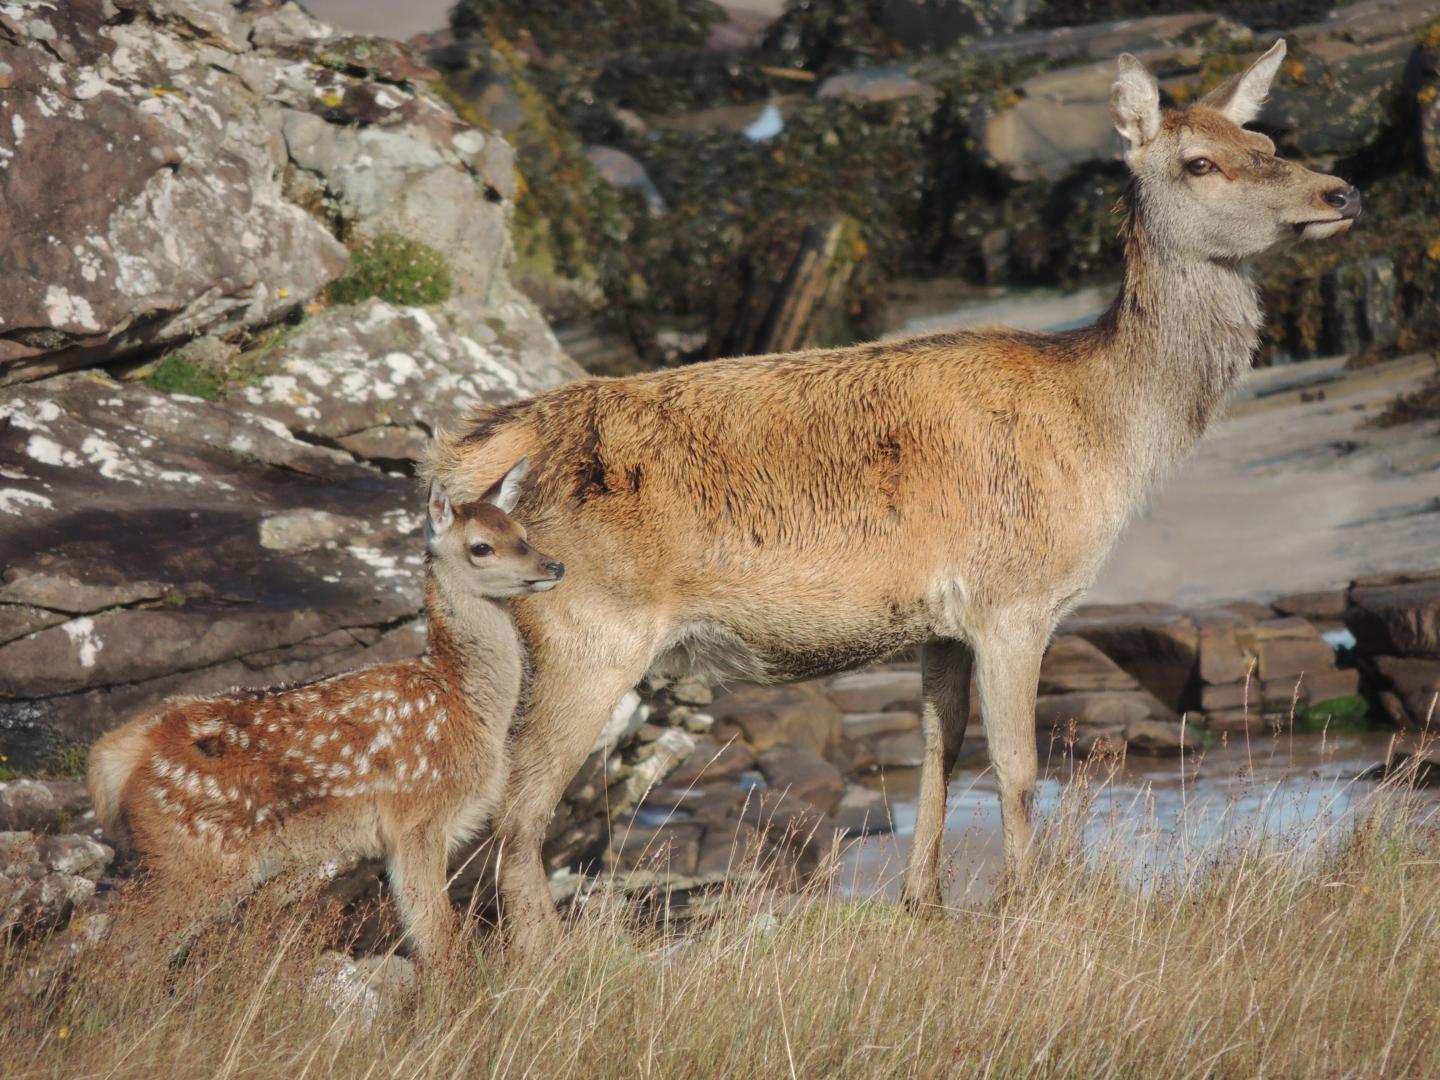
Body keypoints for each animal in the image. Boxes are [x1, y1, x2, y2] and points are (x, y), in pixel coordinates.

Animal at [426, 42, 1359, 956]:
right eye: (1201, 161)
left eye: (1266, 141)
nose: (1340, 191)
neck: (1104, 432)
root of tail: (510, 438)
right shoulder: (1013, 598)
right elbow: (1019, 769)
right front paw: (1027, 909)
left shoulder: (939, 625)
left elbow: (940, 753)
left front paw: (927, 905)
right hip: (585, 625)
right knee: (518, 814)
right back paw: (547, 962)